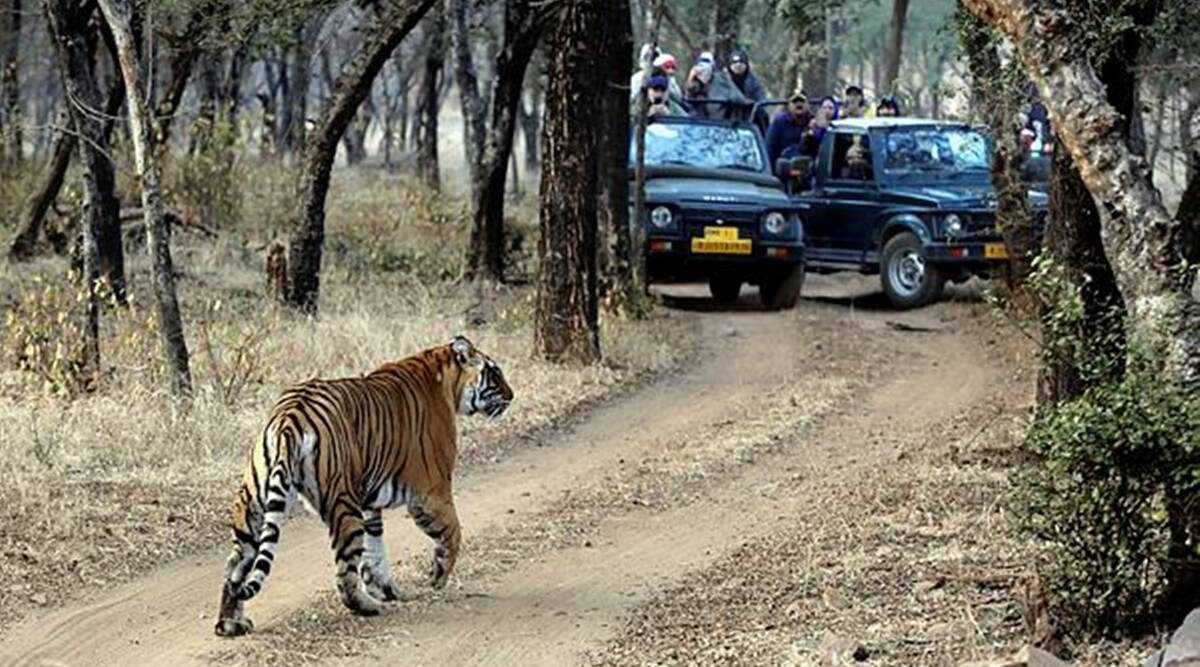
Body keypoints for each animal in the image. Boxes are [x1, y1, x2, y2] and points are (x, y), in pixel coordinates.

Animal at [214, 333, 511, 633]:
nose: (512, 396)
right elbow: (453, 532)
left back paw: (229, 624)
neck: (445, 376)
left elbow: (375, 548)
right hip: (344, 505)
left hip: (253, 503)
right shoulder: (432, 493)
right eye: (495, 372)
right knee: (344, 572)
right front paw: (436, 577)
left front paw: (385, 588)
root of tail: (290, 415)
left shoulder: (370, 501)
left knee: (235, 566)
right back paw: (366, 606)